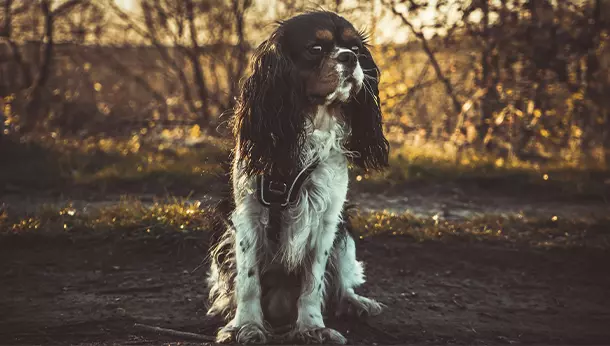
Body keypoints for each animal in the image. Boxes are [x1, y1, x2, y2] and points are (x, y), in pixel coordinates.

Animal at [207, 10, 388, 344]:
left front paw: (312, 326)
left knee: (341, 282)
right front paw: (245, 326)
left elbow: (313, 282)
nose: (349, 58)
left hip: (345, 234)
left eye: (356, 49)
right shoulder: (247, 215)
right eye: (315, 49)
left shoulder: (327, 219)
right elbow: (248, 281)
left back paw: (356, 302)